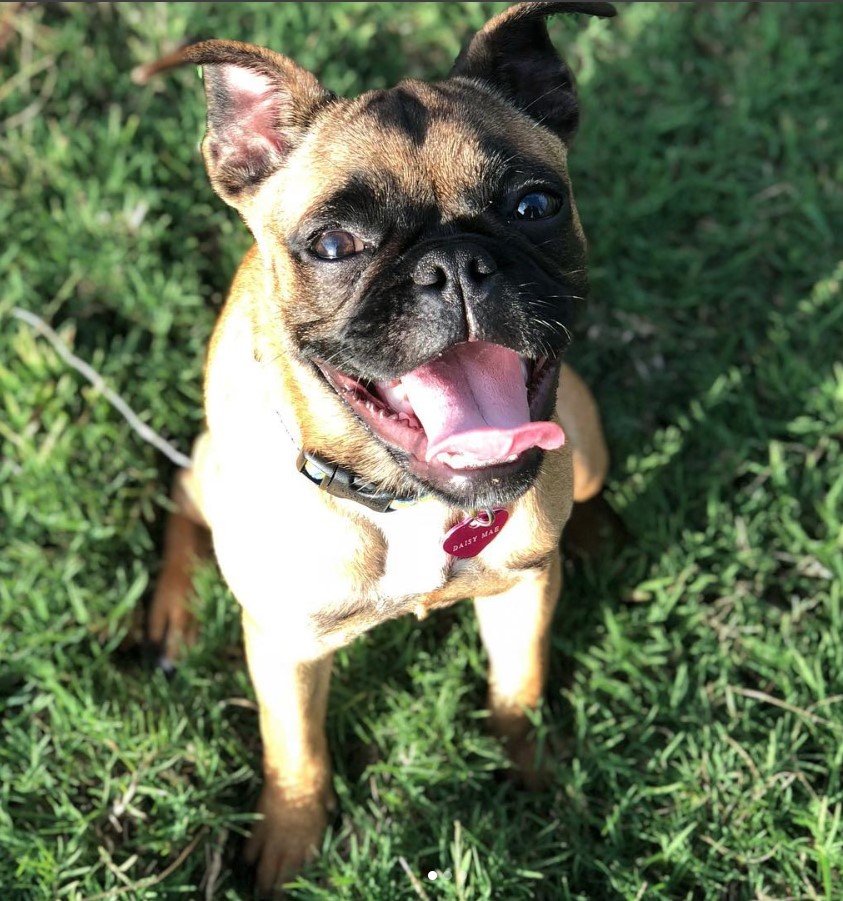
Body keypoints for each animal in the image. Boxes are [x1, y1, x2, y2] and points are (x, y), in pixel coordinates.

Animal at [138, 1, 612, 892]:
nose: (455, 263)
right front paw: (288, 846)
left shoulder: (521, 595)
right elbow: (296, 752)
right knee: (184, 495)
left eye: (535, 204)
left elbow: (518, 689)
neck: (408, 501)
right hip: (212, 469)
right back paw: (171, 615)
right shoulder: (285, 647)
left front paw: (535, 773)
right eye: (332, 245)